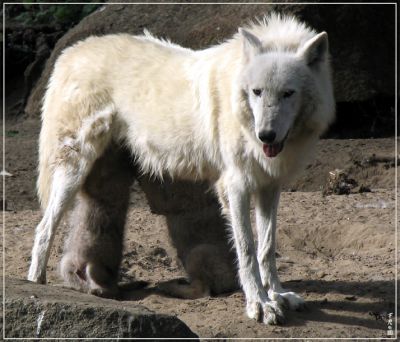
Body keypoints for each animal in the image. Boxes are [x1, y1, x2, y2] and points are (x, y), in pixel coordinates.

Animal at [27, 12, 334, 324]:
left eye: (288, 93)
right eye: (257, 92)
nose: (266, 136)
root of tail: (71, 52)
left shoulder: (269, 187)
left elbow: (267, 248)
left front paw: (278, 295)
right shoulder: (235, 187)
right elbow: (247, 250)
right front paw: (258, 303)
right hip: (72, 170)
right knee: (43, 228)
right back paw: (36, 283)